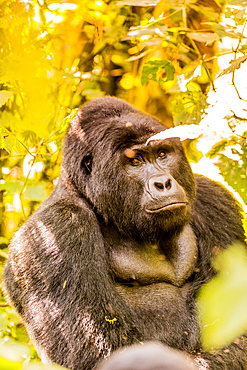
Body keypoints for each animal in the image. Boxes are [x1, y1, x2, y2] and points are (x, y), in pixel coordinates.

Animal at [3, 97, 247, 368]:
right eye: (135, 162)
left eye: (162, 154)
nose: (163, 183)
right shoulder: (53, 233)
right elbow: (99, 350)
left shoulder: (215, 201)